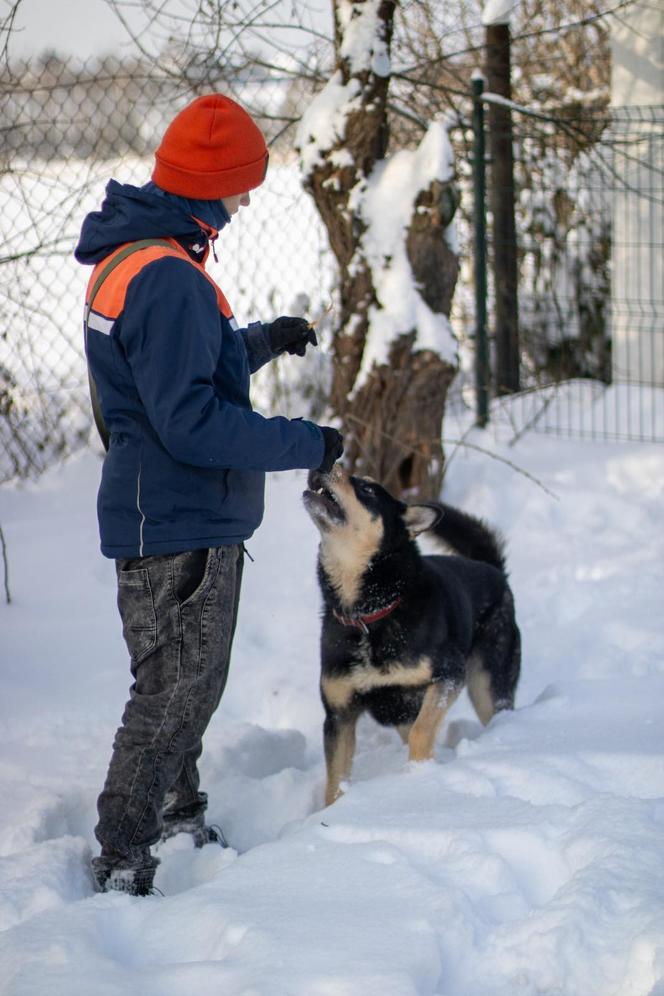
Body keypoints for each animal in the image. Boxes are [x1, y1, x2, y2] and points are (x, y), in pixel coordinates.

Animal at [304, 462, 520, 804]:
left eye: (367, 489)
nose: (326, 464)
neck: (370, 614)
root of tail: (494, 570)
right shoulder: (339, 713)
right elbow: (335, 780)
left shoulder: (448, 675)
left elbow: (422, 731)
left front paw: (420, 774)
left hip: (487, 685)